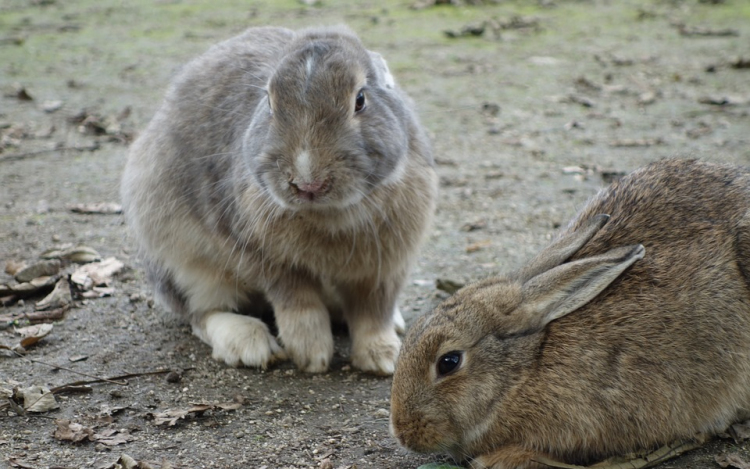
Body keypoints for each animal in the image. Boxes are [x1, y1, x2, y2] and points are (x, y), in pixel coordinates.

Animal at [120, 27, 438, 374]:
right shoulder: (268, 259)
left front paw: (383, 359)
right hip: (182, 262)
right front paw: (312, 355)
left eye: (360, 100)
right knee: (201, 313)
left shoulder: (384, 268)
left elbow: (373, 311)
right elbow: (298, 303)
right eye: (269, 102)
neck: (327, 213)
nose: (308, 183)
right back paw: (249, 343)